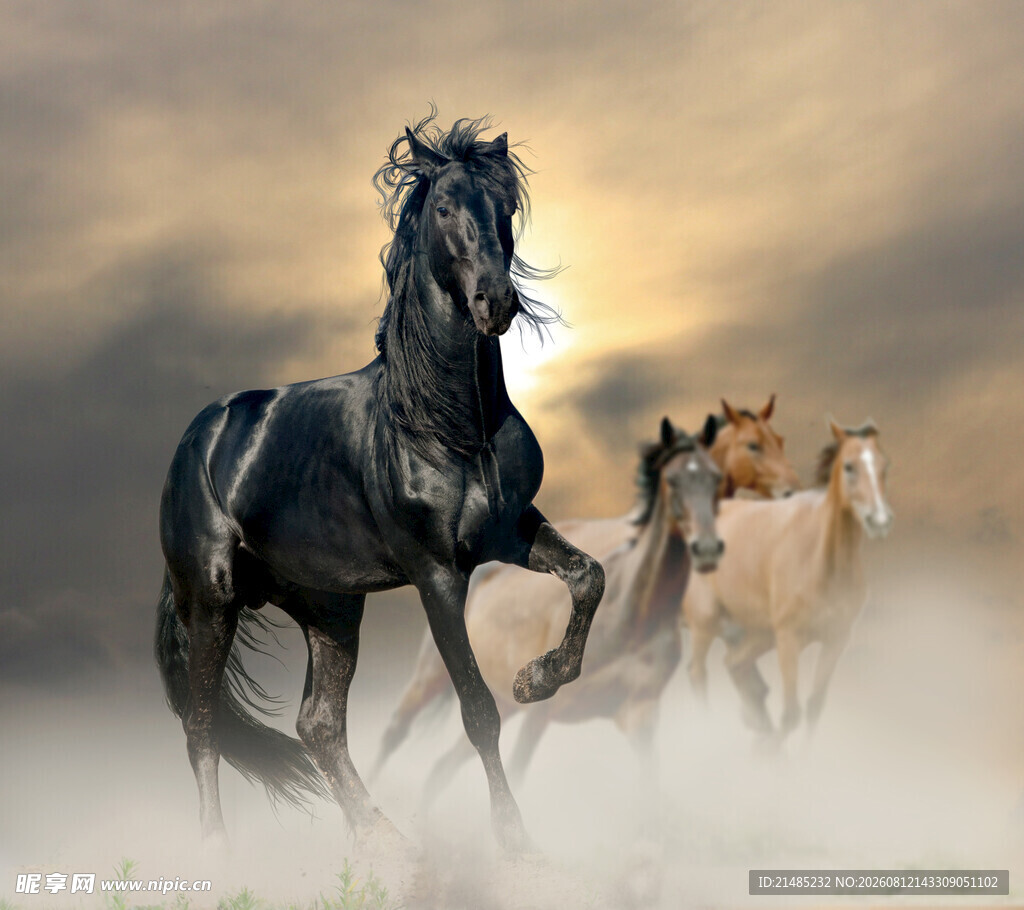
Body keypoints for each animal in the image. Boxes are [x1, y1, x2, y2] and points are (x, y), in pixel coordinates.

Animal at [154, 113, 606, 854]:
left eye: (505, 206)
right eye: (445, 206)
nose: (495, 302)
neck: (448, 426)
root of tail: (198, 439)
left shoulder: (512, 532)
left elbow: (588, 576)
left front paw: (536, 679)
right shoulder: (437, 574)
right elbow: (478, 710)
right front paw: (514, 840)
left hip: (330, 609)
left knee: (318, 725)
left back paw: (385, 842)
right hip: (212, 602)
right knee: (201, 729)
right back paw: (220, 853)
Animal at [371, 397, 800, 780]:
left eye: (714, 479)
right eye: (673, 480)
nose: (707, 548)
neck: (635, 611)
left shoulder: (639, 715)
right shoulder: (541, 713)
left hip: (504, 704)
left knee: (445, 767)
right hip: (431, 678)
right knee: (394, 734)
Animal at [684, 419, 893, 741]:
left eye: (884, 466)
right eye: (849, 466)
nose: (879, 521)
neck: (823, 563)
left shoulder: (836, 639)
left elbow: (813, 707)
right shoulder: (789, 639)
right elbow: (791, 714)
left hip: (757, 633)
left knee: (737, 666)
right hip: (706, 624)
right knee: (697, 674)